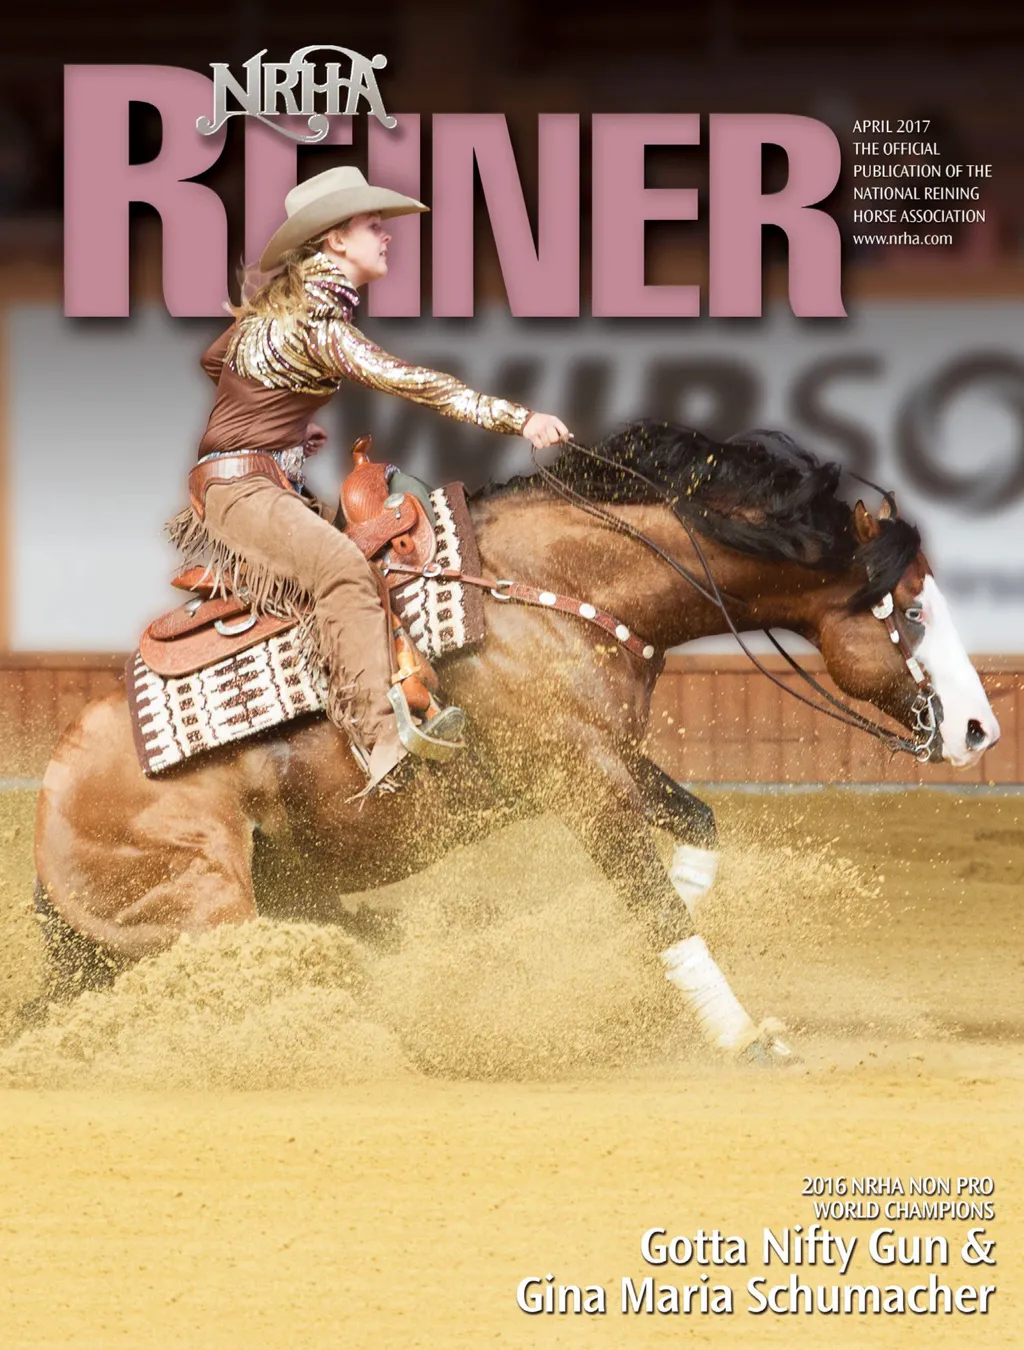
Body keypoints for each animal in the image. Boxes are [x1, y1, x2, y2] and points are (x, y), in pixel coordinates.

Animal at [31, 421, 999, 1062]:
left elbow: (695, 832)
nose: (980, 729)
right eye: (911, 610)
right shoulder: (583, 783)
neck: (544, 590)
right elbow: (658, 903)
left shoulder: (605, 761)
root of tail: (53, 812)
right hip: (207, 903)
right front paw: (740, 1034)